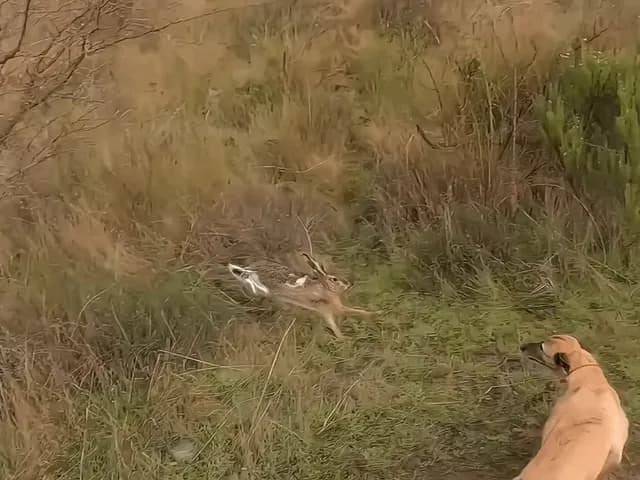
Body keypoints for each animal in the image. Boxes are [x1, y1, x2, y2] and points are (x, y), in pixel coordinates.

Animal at [227, 252, 375, 339]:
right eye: (334, 279)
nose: (349, 284)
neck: (325, 289)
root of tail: (247, 271)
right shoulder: (326, 311)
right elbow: (338, 323)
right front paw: (343, 340)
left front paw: (373, 315)